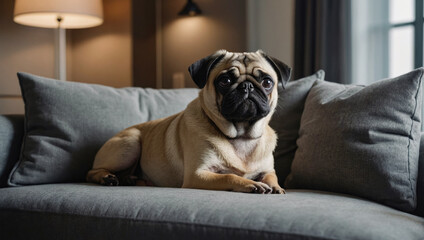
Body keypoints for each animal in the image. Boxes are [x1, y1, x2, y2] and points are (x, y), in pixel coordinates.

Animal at [87, 50, 292, 193]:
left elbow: (271, 177)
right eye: (224, 81)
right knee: (91, 172)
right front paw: (251, 184)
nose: (247, 86)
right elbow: (229, 177)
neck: (241, 136)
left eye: (267, 82)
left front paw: (275, 187)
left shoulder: (267, 170)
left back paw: (132, 179)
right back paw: (107, 177)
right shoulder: (197, 175)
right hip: (130, 143)